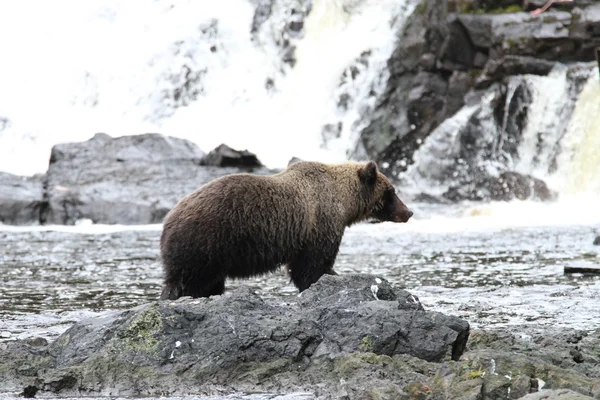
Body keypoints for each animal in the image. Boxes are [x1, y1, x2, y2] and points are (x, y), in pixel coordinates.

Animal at [159, 161, 412, 298]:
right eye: (391, 191)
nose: (408, 212)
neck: (343, 202)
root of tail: (168, 220)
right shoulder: (319, 224)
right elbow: (311, 266)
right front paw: (330, 277)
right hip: (208, 241)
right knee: (193, 281)